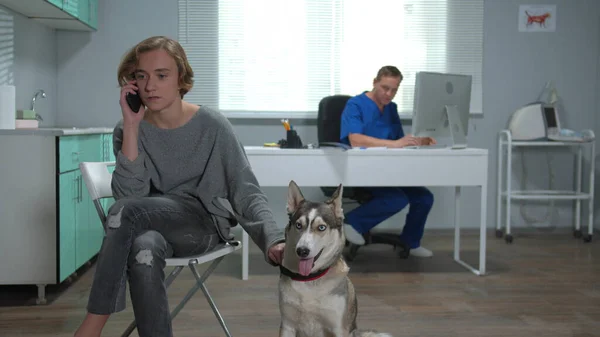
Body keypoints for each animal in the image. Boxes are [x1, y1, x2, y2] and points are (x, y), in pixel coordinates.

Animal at [278, 180, 392, 336]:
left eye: (321, 227)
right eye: (298, 225)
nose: (302, 251)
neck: (310, 280)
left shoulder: (338, 327)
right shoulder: (287, 325)